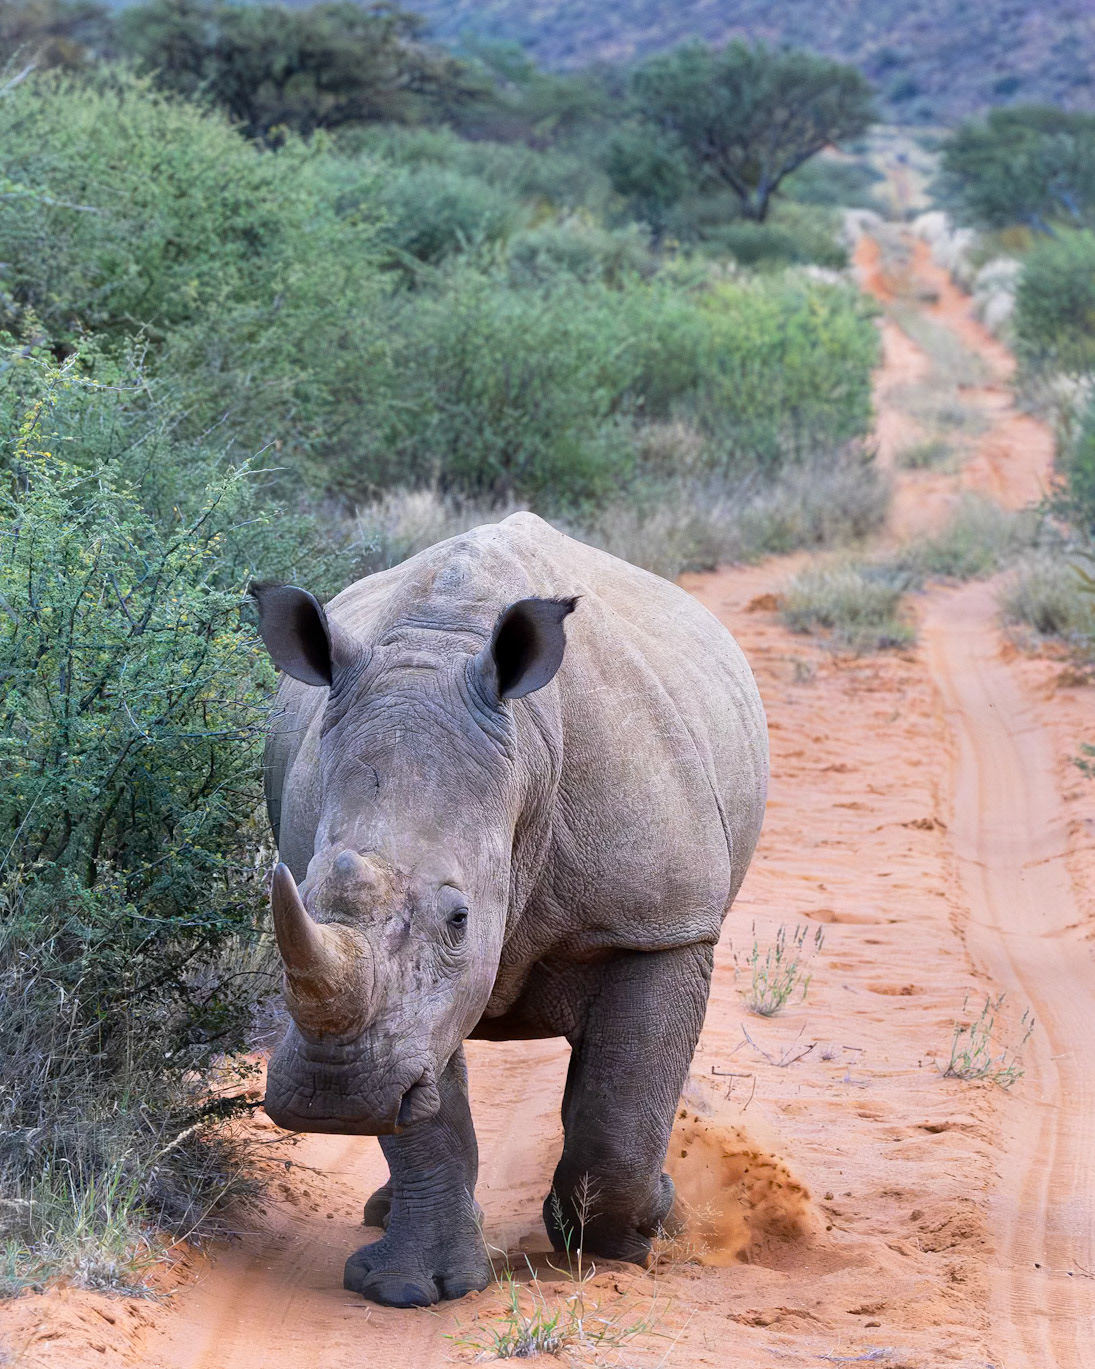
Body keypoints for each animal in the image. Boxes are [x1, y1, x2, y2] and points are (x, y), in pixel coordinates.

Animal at [251, 512, 767, 1309]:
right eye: (297, 897)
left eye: (460, 919)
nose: (333, 1096)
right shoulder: (404, 1017)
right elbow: (428, 1103)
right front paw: (412, 1287)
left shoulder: (660, 924)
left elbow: (620, 1114)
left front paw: (636, 1233)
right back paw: (383, 1213)